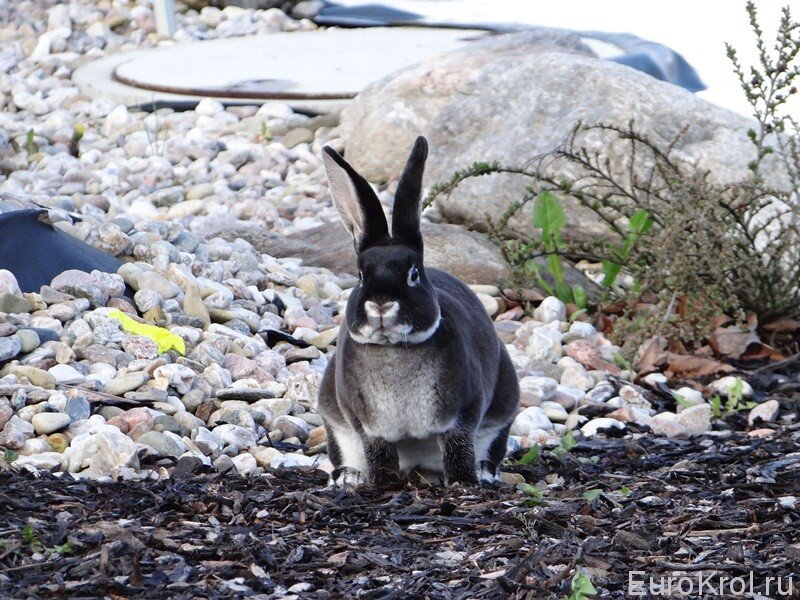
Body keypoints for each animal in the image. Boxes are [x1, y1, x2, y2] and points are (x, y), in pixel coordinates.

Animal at [315, 136, 519, 487]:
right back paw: (349, 478)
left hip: (503, 405)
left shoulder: (463, 412)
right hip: (336, 421)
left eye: (412, 275)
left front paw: (463, 483)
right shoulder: (363, 422)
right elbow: (378, 452)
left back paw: (483, 471)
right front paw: (384, 484)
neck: (394, 348)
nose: (381, 303)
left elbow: (458, 446)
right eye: (361, 276)